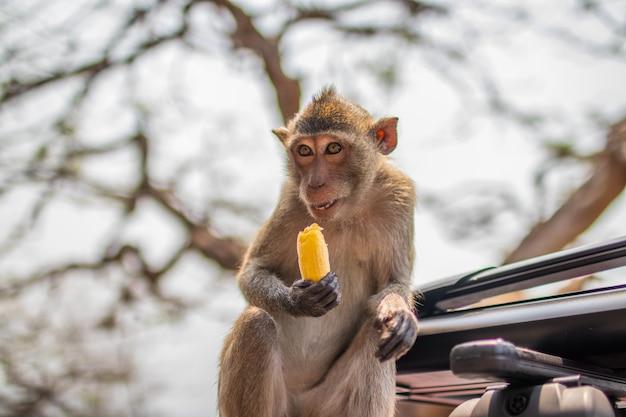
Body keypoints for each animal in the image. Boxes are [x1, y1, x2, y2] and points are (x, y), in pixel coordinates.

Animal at [217, 87, 416, 416]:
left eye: (333, 148)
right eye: (305, 151)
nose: (314, 183)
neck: (346, 212)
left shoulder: (399, 196)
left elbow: (394, 282)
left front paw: (398, 313)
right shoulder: (290, 199)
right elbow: (253, 269)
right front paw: (298, 299)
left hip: (326, 403)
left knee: (377, 334)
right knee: (256, 323)